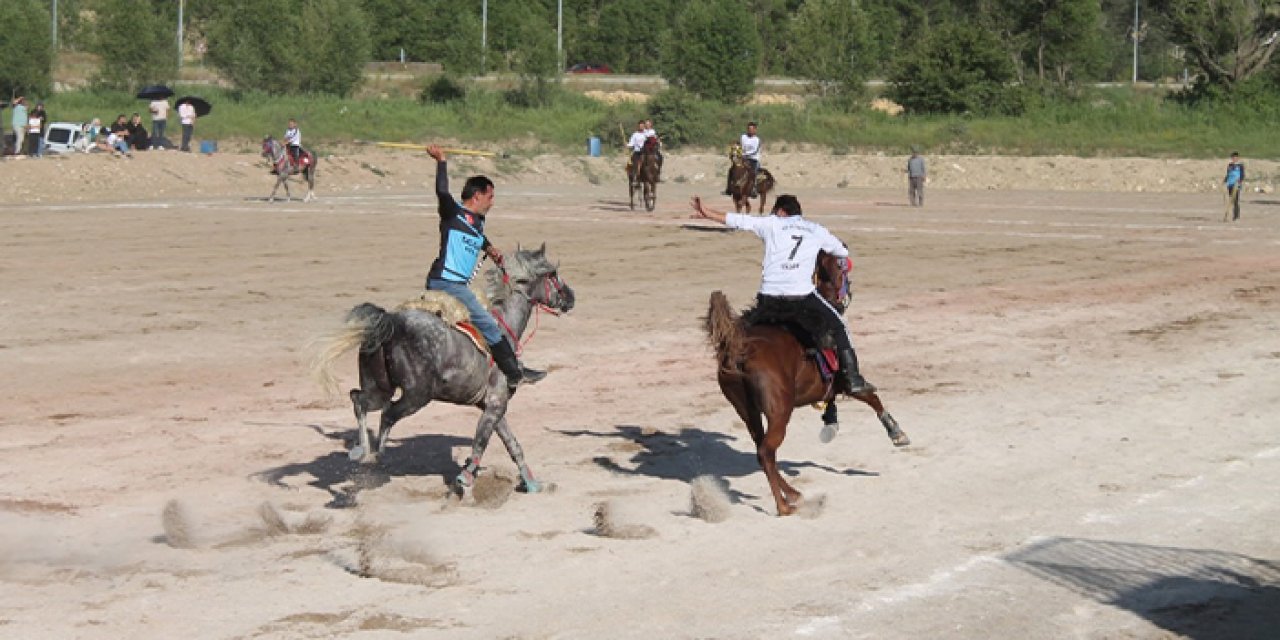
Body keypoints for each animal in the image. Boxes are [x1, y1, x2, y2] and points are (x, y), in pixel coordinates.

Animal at [309, 244, 576, 494]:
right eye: (553, 272)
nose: (571, 296)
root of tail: (390, 322)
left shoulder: (492, 404)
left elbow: (511, 443)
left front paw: (532, 483)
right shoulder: (496, 403)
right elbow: (482, 440)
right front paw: (466, 476)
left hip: (380, 388)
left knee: (359, 400)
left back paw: (361, 451)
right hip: (417, 395)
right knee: (388, 414)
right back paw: (376, 455)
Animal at [706, 249, 906, 514]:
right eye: (843, 267)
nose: (848, 292)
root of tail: (740, 348)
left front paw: (830, 421)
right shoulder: (847, 381)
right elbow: (870, 395)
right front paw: (896, 432)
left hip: (747, 411)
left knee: (762, 450)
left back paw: (792, 493)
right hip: (780, 411)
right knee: (766, 452)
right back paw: (783, 505)